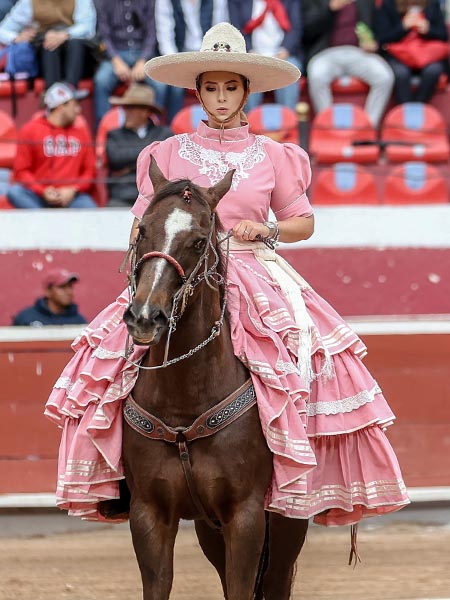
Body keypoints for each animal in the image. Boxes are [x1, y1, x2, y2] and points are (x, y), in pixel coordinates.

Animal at [121, 157, 308, 596]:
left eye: (198, 241)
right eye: (143, 229)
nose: (144, 317)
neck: (184, 401)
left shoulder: (246, 515)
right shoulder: (149, 514)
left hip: (288, 520)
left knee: (276, 581)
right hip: (210, 528)